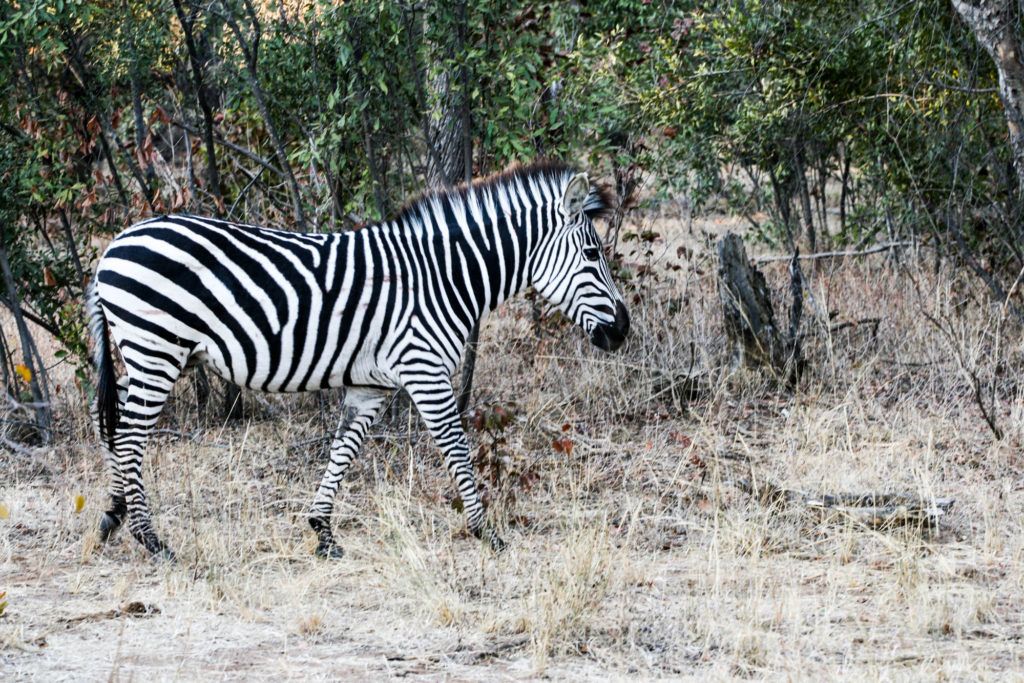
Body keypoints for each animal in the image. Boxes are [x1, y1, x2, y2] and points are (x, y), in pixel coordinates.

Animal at [88, 161, 630, 560]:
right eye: (592, 254)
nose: (623, 329)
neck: (442, 277)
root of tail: (114, 246)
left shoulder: (374, 384)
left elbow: (343, 451)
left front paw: (322, 532)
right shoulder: (425, 370)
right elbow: (457, 448)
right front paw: (486, 531)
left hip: (150, 352)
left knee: (117, 428)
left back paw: (114, 516)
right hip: (157, 347)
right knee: (131, 435)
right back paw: (150, 538)